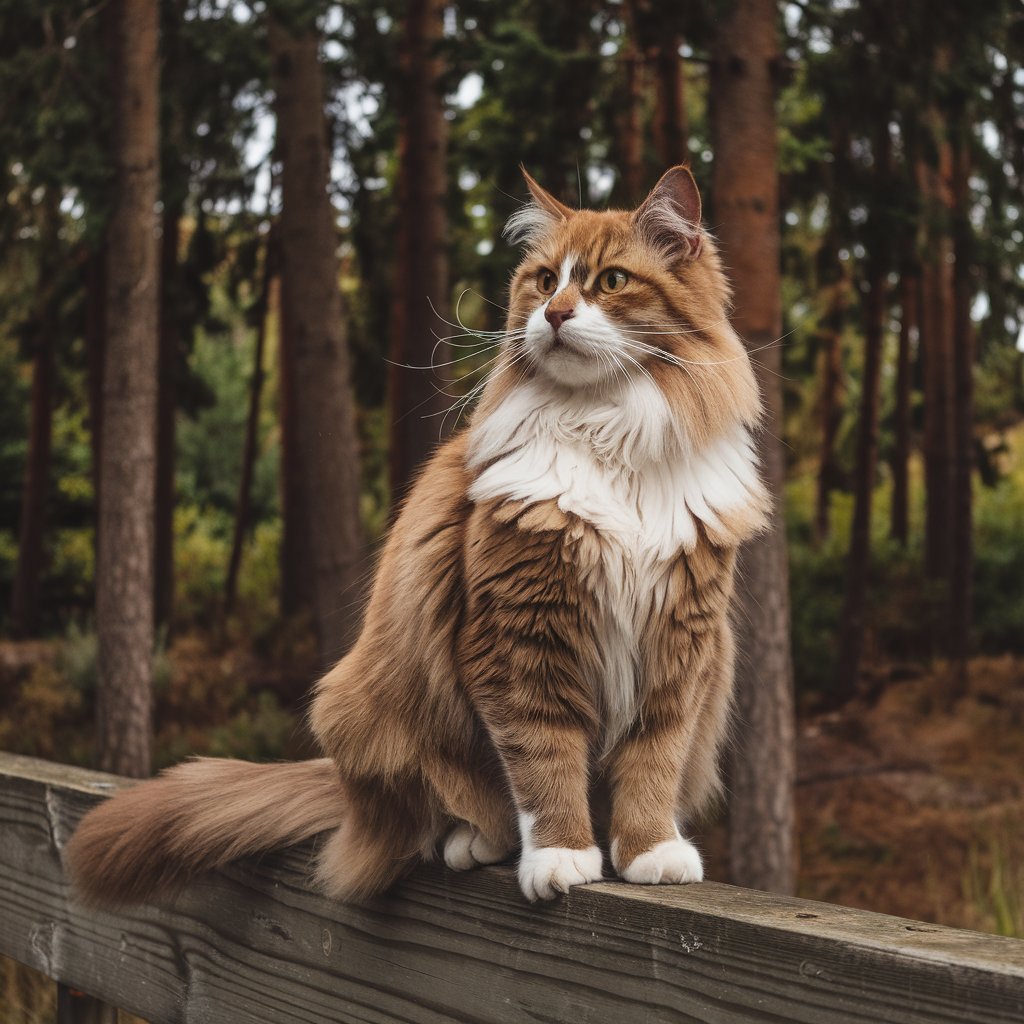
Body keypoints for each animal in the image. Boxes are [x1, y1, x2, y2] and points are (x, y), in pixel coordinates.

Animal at [66, 163, 770, 909]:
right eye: (544, 280)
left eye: (611, 281)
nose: (554, 315)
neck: (607, 432)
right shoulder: (517, 636)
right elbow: (543, 758)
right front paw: (560, 857)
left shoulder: (681, 642)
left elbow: (651, 760)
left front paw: (648, 851)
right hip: (368, 713)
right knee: (432, 813)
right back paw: (473, 841)